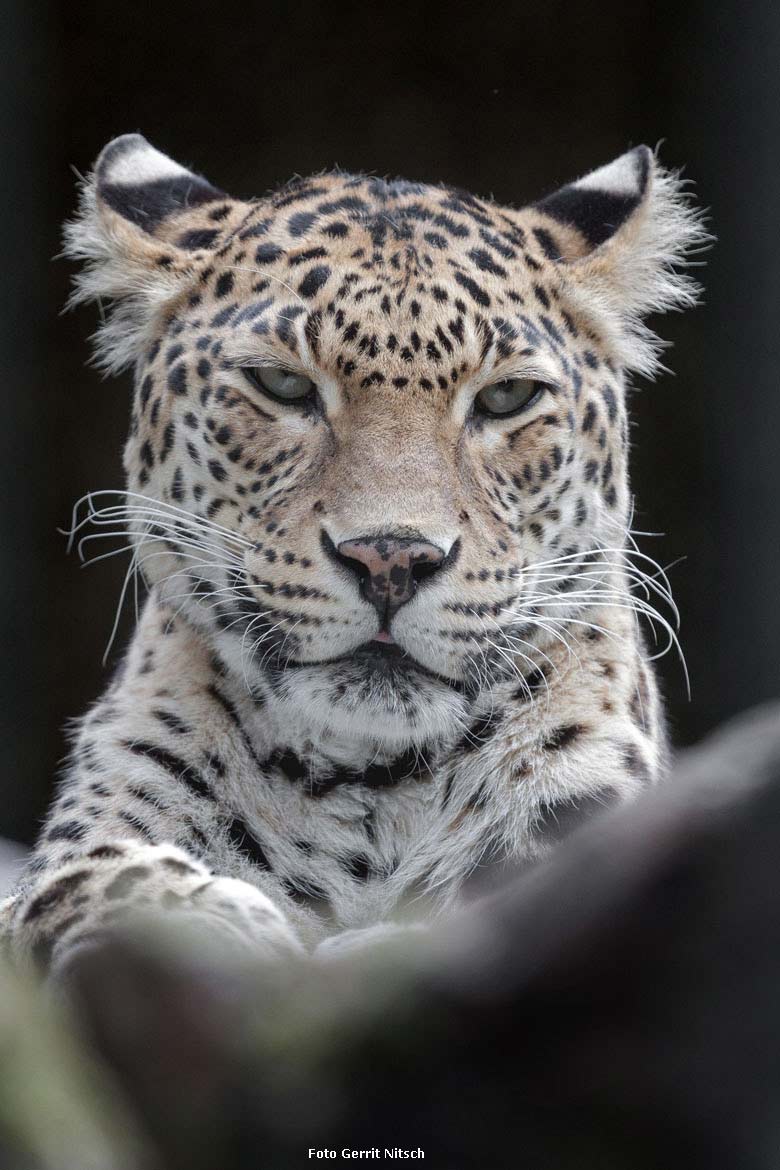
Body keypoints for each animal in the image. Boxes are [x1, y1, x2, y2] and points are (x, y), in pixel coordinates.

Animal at [1, 132, 706, 973]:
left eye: (506, 399)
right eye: (280, 385)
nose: (390, 560)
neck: (372, 786)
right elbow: (79, 883)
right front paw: (212, 920)